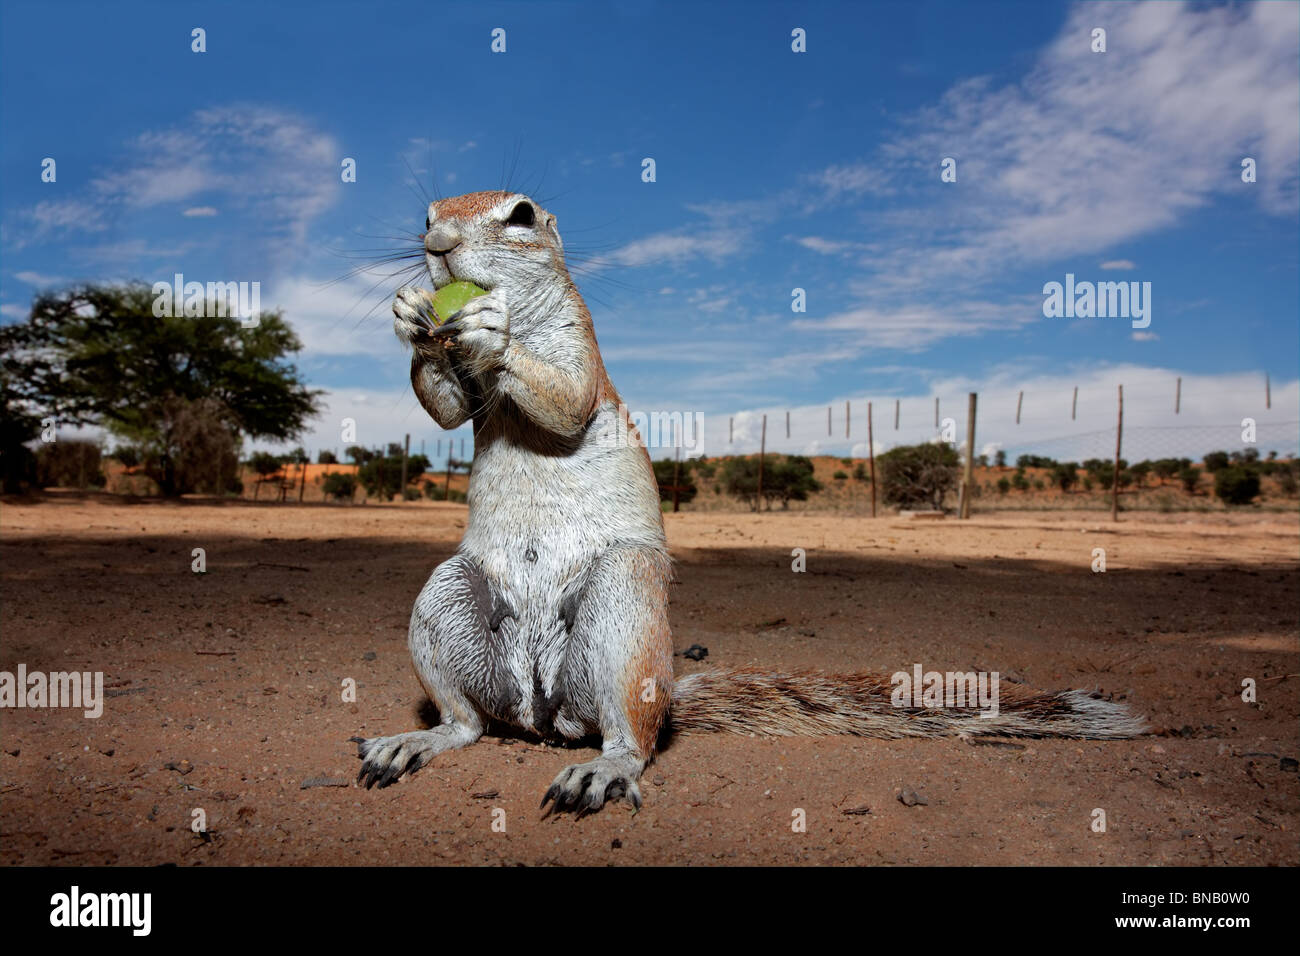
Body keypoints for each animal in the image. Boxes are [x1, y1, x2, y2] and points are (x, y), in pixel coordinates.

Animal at [351, 192, 1144, 816]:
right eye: (427, 214)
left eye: (519, 215)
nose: (436, 246)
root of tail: (546, 711)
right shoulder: (464, 392)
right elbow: (447, 408)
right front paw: (410, 317)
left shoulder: (581, 349)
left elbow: (566, 398)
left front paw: (493, 331)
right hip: (448, 599)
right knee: (468, 723)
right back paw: (414, 740)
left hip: (624, 604)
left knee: (630, 737)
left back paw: (600, 770)